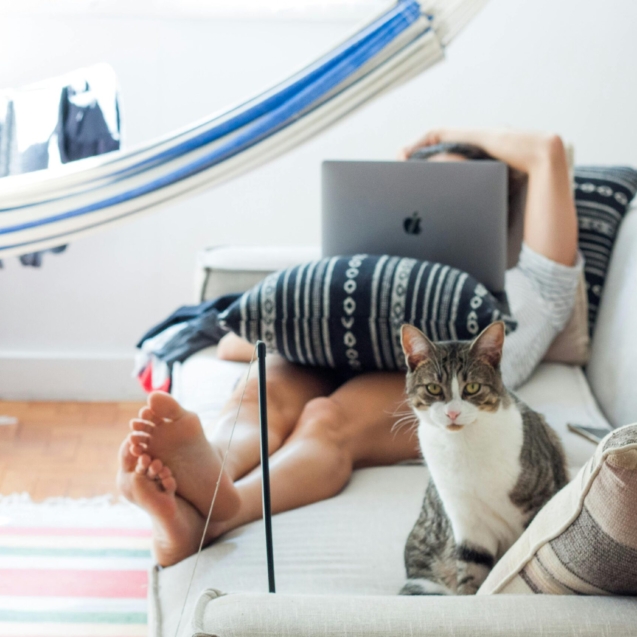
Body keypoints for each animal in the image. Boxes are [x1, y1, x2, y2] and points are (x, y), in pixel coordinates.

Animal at [400, 320, 564, 592]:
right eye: (433, 388)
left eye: (473, 387)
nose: (453, 413)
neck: (464, 445)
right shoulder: (467, 522)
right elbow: (472, 568)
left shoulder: (538, 501)